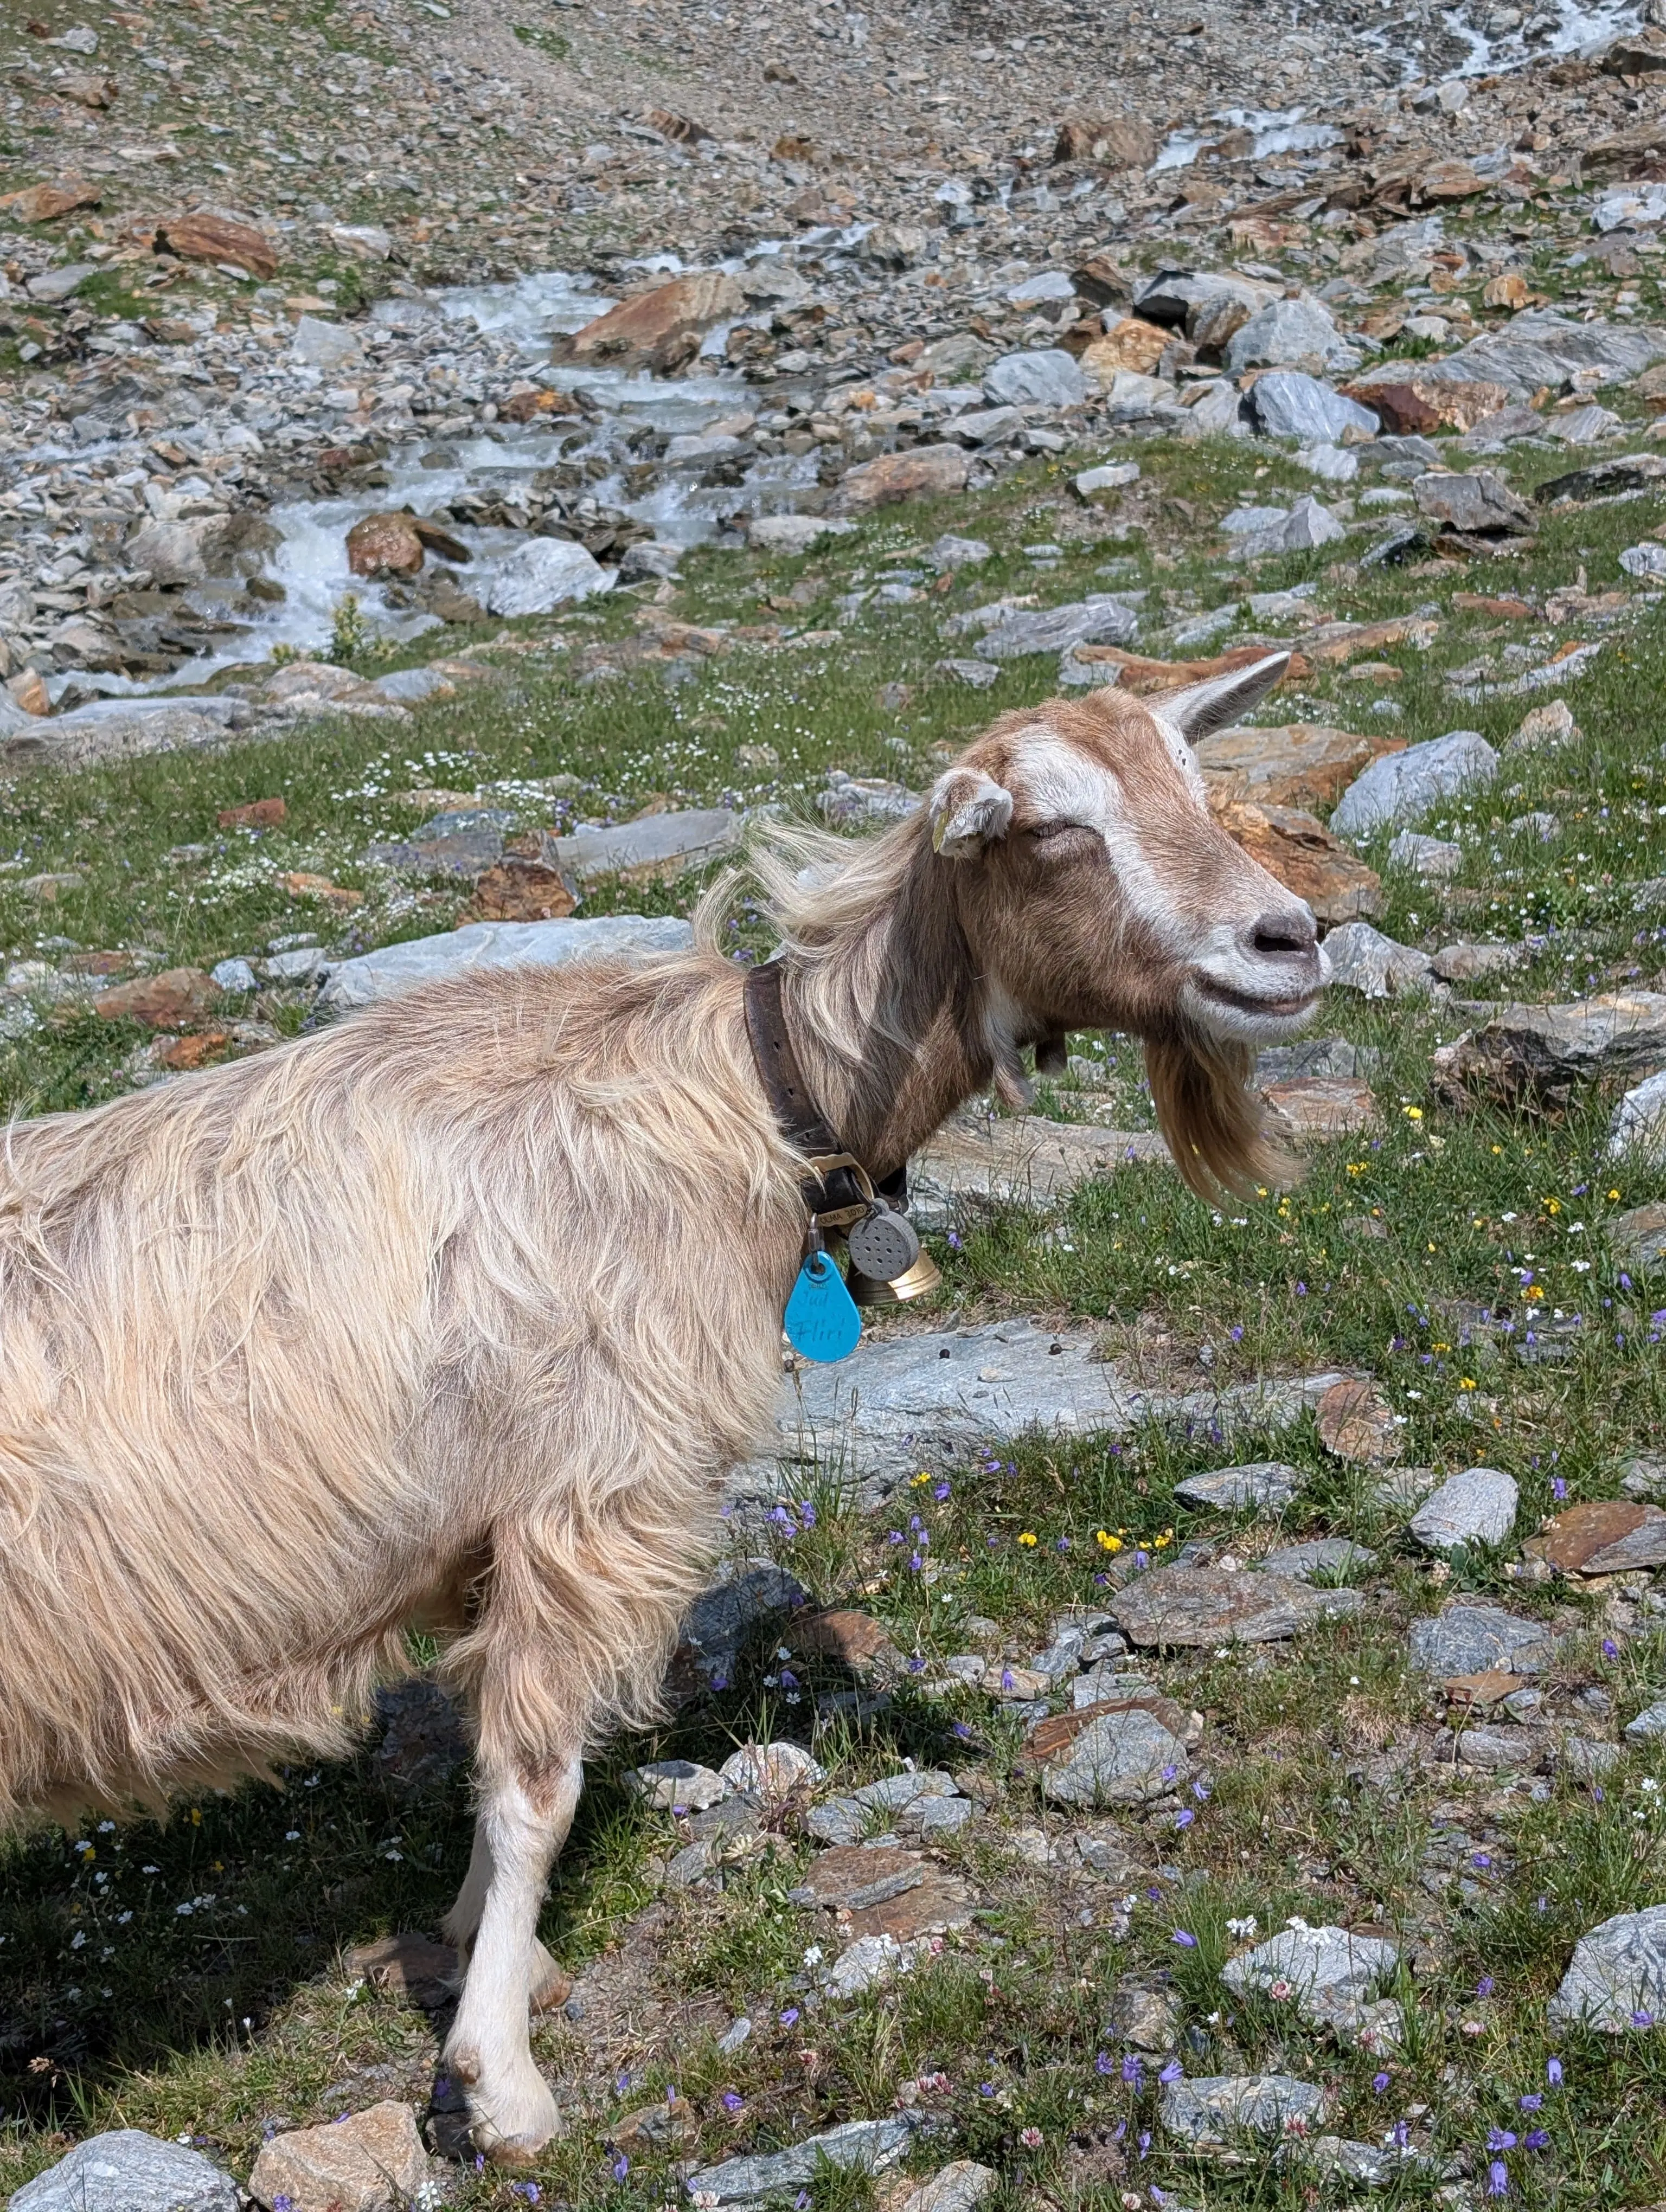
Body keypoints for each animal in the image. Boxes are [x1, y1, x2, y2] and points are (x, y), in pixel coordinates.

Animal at [0, 652, 1323, 2159]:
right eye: (1047, 828)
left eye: (1195, 782)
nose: (1291, 941)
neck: (744, 1105)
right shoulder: (589, 1490)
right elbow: (538, 1783)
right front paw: (499, 2081)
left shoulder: (499, 1522)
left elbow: (488, 1770)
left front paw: (488, 1947)